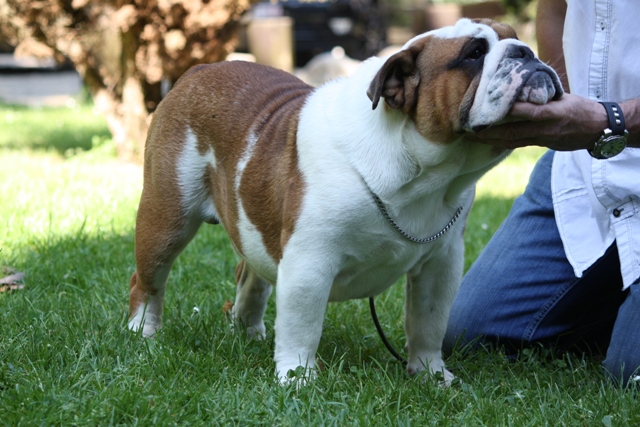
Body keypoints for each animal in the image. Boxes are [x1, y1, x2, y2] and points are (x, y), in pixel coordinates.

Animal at [128, 18, 562, 385]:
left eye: (516, 38)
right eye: (473, 54)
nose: (525, 51)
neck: (423, 174)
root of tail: (198, 71)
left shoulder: (440, 264)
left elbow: (428, 323)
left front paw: (431, 375)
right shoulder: (309, 262)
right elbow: (302, 326)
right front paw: (297, 379)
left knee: (250, 272)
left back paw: (248, 331)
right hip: (167, 218)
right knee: (147, 280)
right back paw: (143, 333)